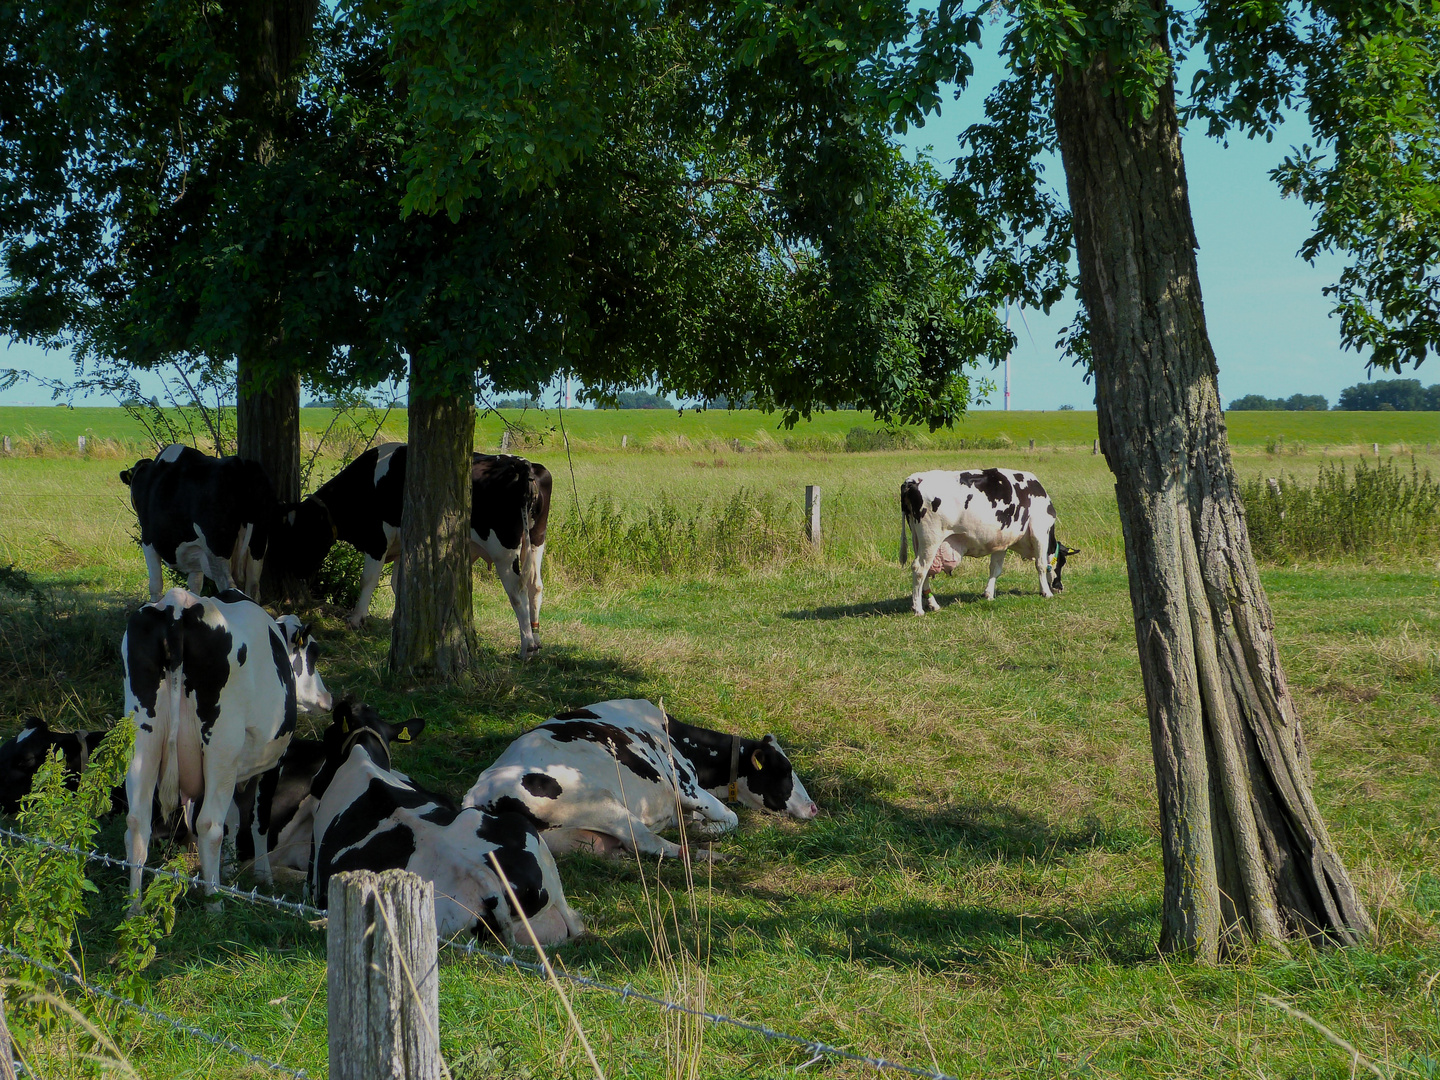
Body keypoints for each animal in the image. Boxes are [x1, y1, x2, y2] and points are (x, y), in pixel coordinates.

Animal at [119, 446, 279, 604]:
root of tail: (239, 463)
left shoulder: (148, 540)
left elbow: (155, 585)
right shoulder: (196, 554)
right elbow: (194, 586)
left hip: (218, 549)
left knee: (229, 586)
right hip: (258, 544)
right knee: (253, 587)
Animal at [120, 587, 331, 910]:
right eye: (313, 654)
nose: (327, 698)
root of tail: (177, 604)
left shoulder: (234, 766)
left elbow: (232, 816)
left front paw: (229, 869)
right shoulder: (271, 762)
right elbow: (258, 820)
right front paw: (262, 876)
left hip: (143, 739)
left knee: (137, 822)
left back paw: (134, 908)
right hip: (220, 746)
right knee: (209, 825)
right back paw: (215, 904)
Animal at [273, 440, 550, 659]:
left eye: (302, 534)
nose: (296, 572)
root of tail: (523, 464)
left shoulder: (378, 540)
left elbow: (368, 580)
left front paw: (356, 619)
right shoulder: (402, 544)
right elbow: (399, 584)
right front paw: (400, 622)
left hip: (504, 549)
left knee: (517, 591)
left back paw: (527, 647)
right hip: (536, 540)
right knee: (535, 586)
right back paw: (536, 640)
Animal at [463, 702, 817, 864]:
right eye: (784, 771)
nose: (813, 808)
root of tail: (477, 794)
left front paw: (696, 824)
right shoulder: (685, 786)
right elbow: (731, 818)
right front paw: (705, 829)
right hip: (604, 803)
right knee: (648, 843)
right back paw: (709, 854)